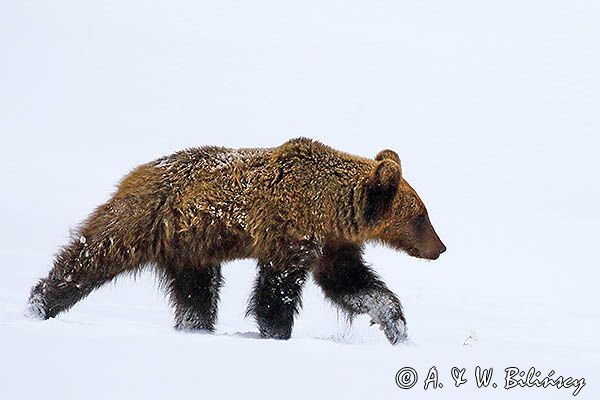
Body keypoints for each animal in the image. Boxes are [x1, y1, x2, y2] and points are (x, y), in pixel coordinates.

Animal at [28, 138, 442, 344]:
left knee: (196, 293)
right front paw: (276, 332)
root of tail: (134, 174)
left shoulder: (332, 245)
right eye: (421, 216)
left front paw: (395, 325)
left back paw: (195, 327)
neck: (327, 208)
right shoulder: (288, 234)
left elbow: (352, 284)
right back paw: (39, 303)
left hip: (189, 249)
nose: (441, 247)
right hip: (144, 218)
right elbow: (275, 292)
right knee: (93, 255)